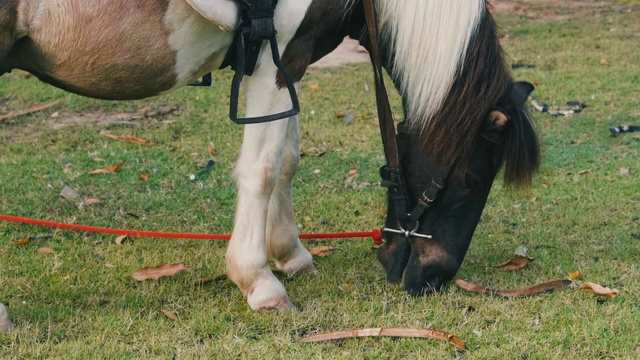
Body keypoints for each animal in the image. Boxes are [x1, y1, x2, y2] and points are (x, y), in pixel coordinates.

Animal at [1, 0, 540, 310]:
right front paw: (258, 281)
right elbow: (260, 169)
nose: (434, 279)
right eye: (472, 181)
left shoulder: (294, 60)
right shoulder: (275, 59)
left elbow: (287, 160)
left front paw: (289, 253)